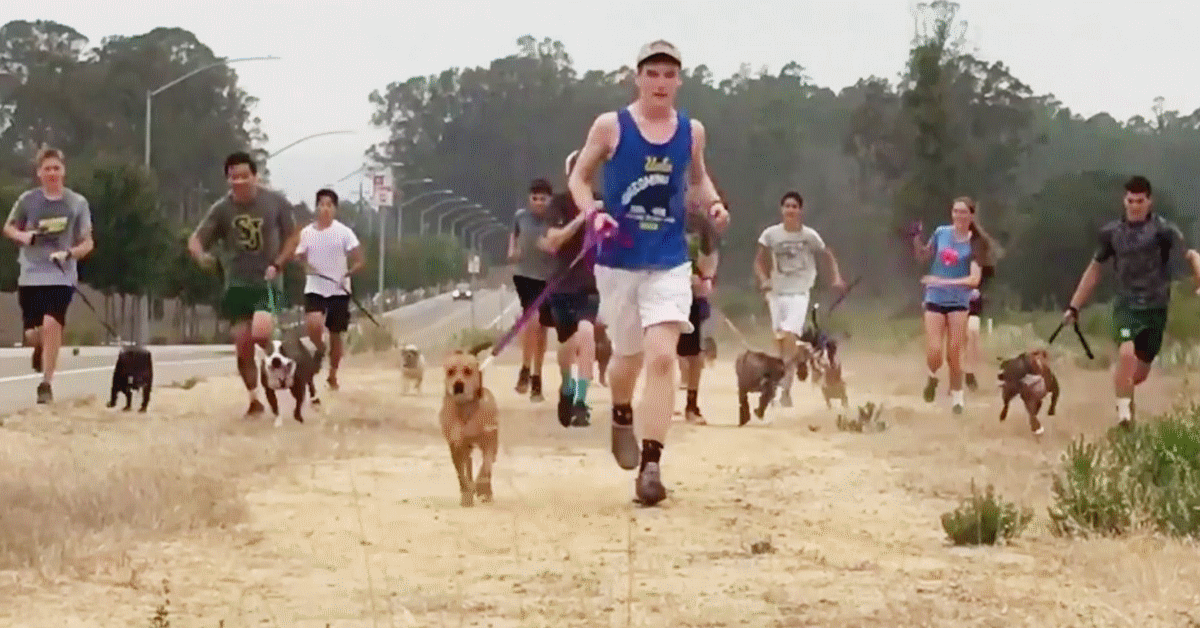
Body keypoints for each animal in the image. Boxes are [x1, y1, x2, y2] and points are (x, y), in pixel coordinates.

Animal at [441, 341, 496, 509]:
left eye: (468, 371)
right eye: (450, 372)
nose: (458, 385)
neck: (466, 410)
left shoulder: (490, 444)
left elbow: (485, 468)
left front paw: (482, 488)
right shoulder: (456, 447)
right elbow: (462, 475)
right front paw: (466, 495)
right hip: (466, 450)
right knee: (468, 468)